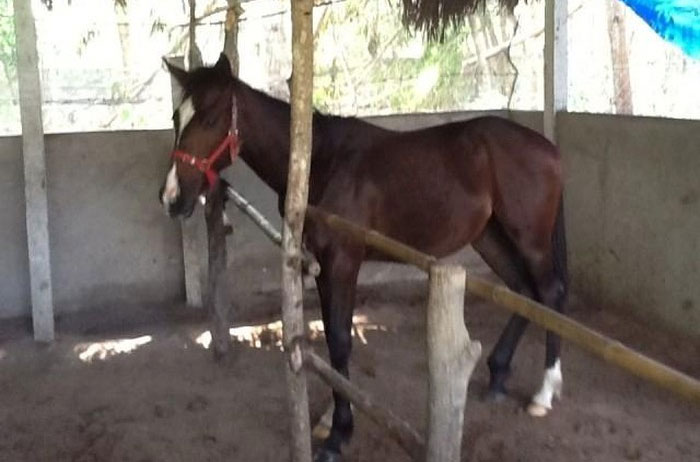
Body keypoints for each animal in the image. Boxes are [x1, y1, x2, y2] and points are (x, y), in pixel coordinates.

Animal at [159, 53, 568, 462]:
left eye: (210, 119)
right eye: (177, 117)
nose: (172, 197)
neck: (321, 161)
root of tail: (548, 148)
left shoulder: (342, 262)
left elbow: (341, 341)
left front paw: (337, 436)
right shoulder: (321, 265)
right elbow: (331, 339)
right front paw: (329, 419)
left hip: (530, 240)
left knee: (549, 295)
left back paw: (543, 393)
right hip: (490, 238)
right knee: (523, 292)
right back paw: (498, 375)